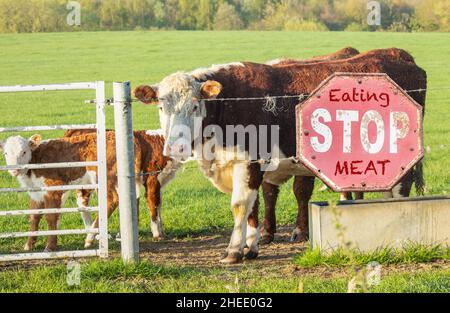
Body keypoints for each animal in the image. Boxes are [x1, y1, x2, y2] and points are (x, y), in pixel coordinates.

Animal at [133, 48, 426, 264]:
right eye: (161, 106)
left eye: (195, 106)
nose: (176, 147)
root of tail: (398, 54)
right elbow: (253, 207)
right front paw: (251, 247)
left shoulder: (248, 161)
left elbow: (240, 205)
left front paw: (233, 251)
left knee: (400, 188)